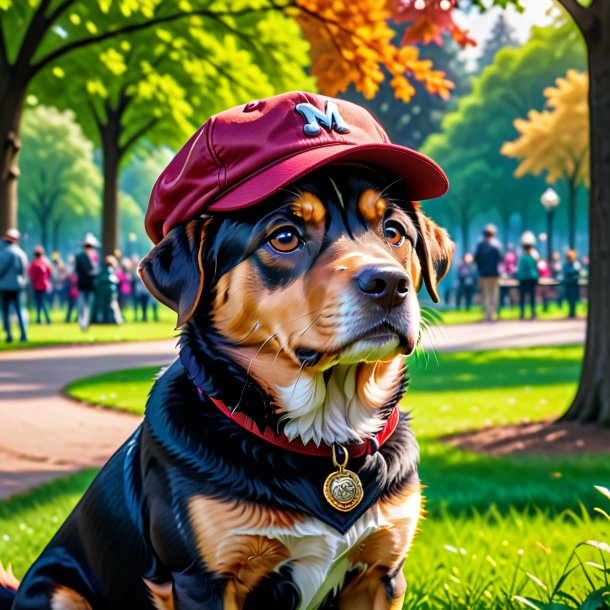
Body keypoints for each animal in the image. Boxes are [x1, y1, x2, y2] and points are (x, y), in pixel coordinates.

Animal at [1, 91, 452, 608]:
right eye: (284, 237)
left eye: (393, 231)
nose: (389, 284)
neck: (326, 437)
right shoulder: (204, 579)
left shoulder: (382, 572)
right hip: (59, 589)